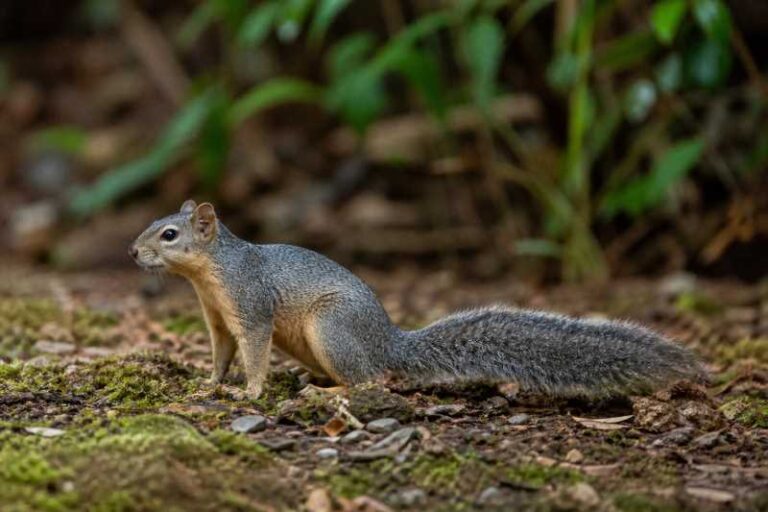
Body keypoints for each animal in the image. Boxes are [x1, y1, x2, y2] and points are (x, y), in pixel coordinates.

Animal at [131, 200, 705, 399]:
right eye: (155, 224)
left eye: (169, 234)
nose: (133, 251)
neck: (212, 274)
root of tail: (390, 345)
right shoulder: (216, 320)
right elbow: (222, 353)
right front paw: (209, 383)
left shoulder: (250, 308)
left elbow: (253, 352)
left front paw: (250, 392)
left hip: (330, 328)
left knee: (371, 380)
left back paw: (328, 394)